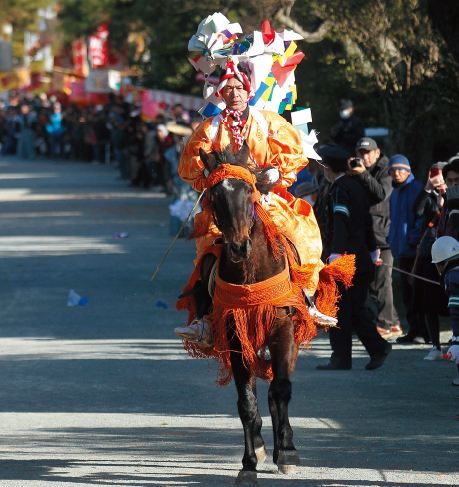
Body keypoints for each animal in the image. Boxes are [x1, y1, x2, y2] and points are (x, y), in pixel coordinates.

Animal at [198, 142, 302, 484]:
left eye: (248, 189)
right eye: (215, 194)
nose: (239, 246)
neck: (250, 270)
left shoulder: (283, 328)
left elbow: (281, 389)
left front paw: (287, 452)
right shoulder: (234, 334)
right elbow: (246, 402)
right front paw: (248, 463)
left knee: (276, 389)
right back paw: (259, 444)